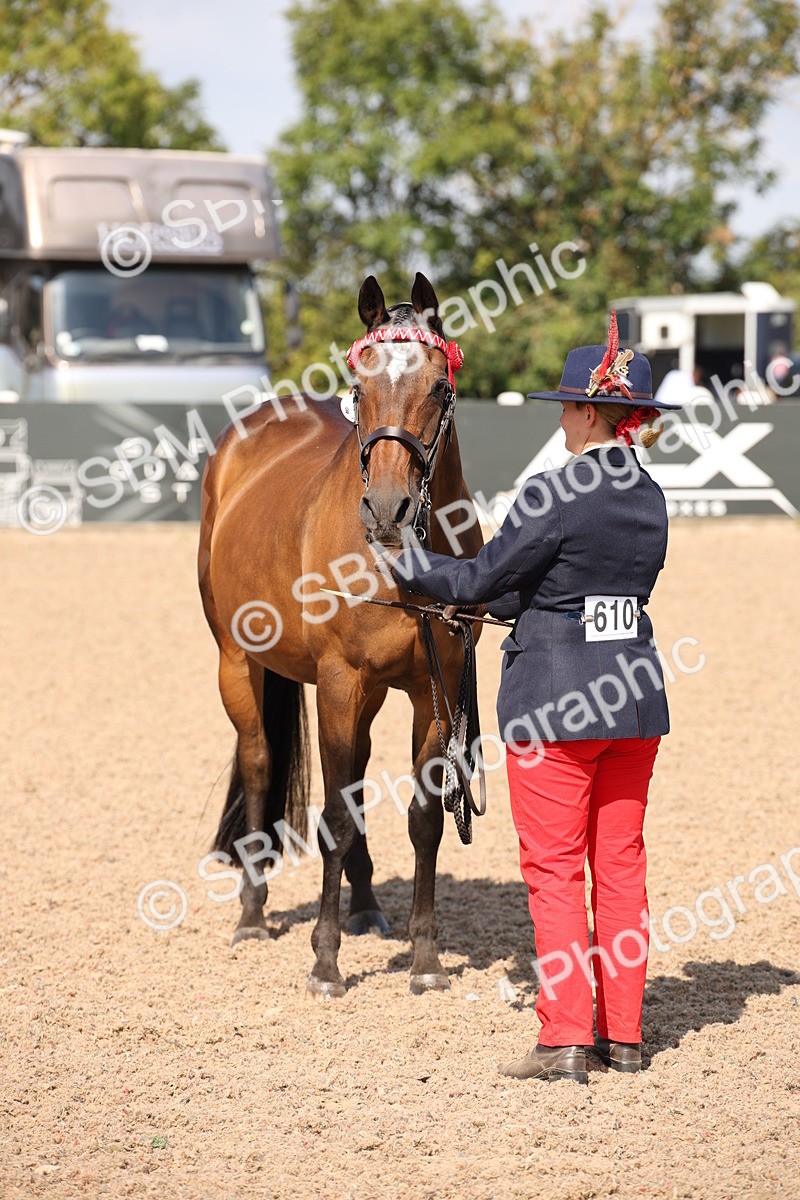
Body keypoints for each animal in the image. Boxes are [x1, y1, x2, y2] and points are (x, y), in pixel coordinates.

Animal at [197, 272, 484, 997]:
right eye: (359, 388)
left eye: (438, 387)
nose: (387, 509)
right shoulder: (337, 682)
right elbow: (331, 817)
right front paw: (325, 962)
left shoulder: (433, 691)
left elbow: (424, 819)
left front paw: (425, 958)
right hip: (239, 662)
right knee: (261, 763)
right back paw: (252, 913)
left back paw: (366, 906)